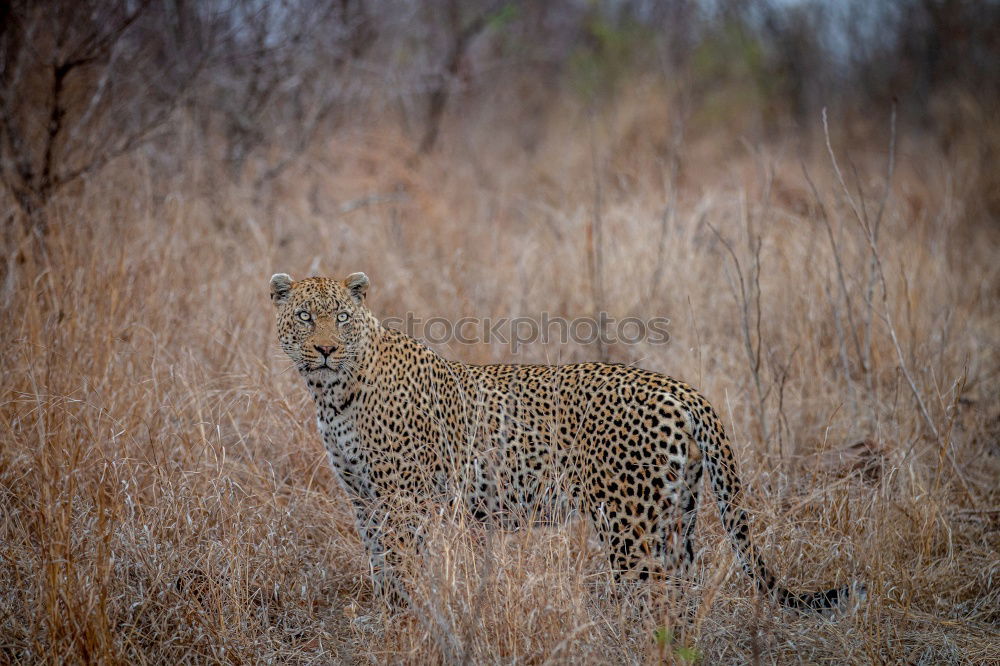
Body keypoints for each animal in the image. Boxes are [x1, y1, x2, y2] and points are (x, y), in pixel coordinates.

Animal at [270, 272, 856, 608]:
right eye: (304, 316)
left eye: (341, 317)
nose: (325, 349)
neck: (332, 393)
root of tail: (681, 388)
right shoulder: (363, 498)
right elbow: (380, 564)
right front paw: (392, 614)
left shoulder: (402, 499)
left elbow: (402, 563)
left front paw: (413, 621)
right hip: (676, 514)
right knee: (685, 589)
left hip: (629, 523)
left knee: (655, 596)